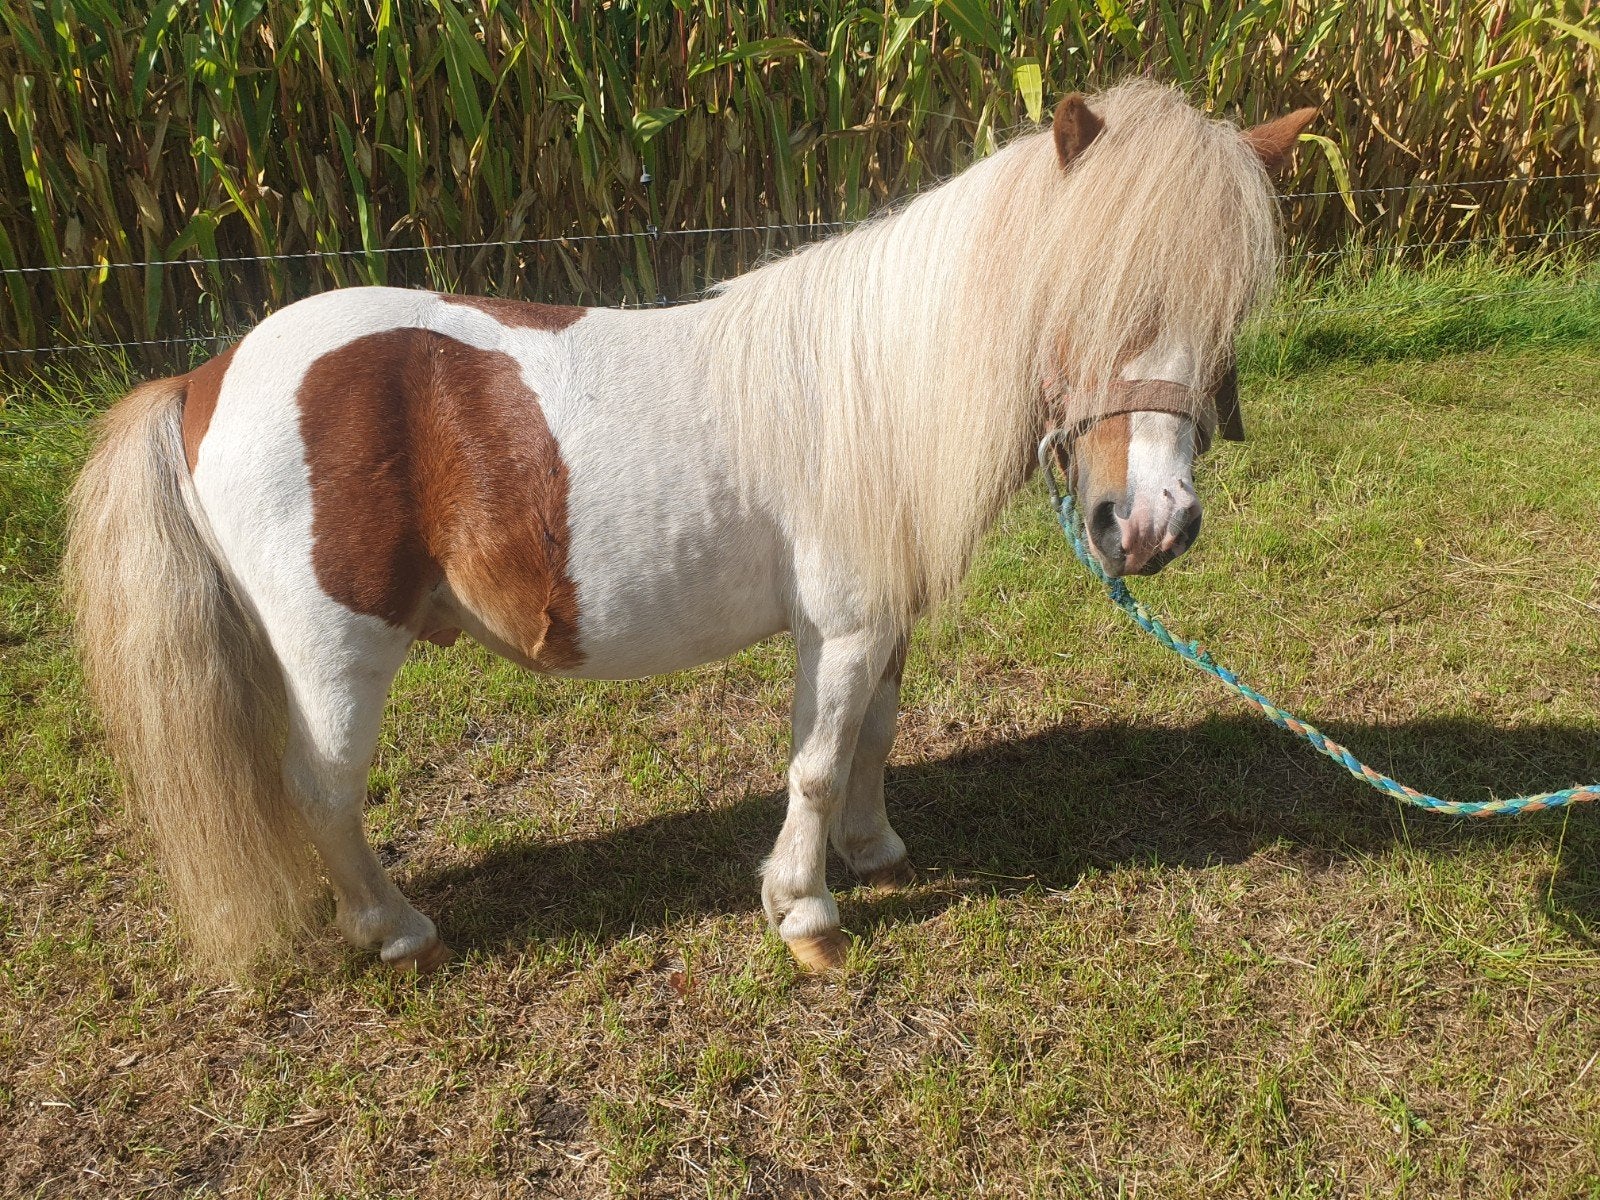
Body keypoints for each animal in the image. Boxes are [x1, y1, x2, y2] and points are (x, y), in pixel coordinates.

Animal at [63, 82, 1316, 976]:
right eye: (1087, 302)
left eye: (1223, 314)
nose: (1150, 525)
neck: (873, 381)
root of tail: (204, 378)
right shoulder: (840, 628)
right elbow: (816, 760)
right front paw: (805, 910)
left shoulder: (879, 624)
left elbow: (872, 738)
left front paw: (872, 851)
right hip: (335, 656)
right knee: (322, 790)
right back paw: (396, 929)